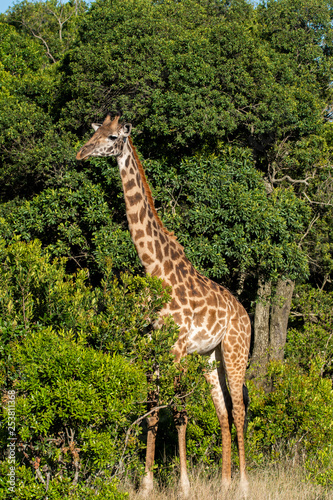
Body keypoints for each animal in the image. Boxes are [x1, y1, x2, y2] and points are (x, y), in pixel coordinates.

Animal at [76, 112, 250, 496]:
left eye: (112, 137)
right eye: (93, 132)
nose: (81, 153)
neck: (154, 268)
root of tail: (246, 314)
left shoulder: (178, 348)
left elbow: (179, 412)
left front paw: (182, 485)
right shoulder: (153, 345)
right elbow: (154, 410)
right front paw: (146, 483)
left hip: (235, 351)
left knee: (240, 409)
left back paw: (244, 485)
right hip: (210, 357)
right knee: (223, 412)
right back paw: (225, 482)